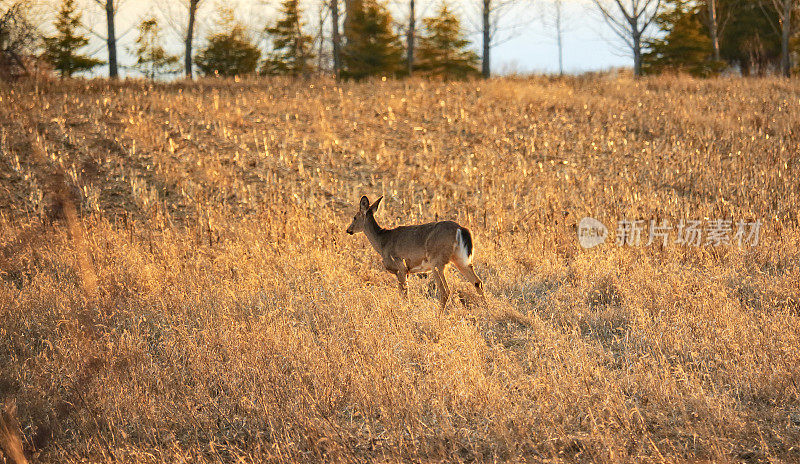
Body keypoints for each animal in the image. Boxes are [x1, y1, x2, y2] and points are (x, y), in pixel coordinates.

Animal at [342, 196, 482, 308]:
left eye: (354, 217)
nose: (348, 230)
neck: (382, 241)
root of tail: (460, 229)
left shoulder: (400, 266)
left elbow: (404, 294)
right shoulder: (407, 271)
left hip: (437, 261)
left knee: (445, 290)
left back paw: (439, 315)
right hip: (460, 259)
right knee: (477, 282)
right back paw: (485, 310)